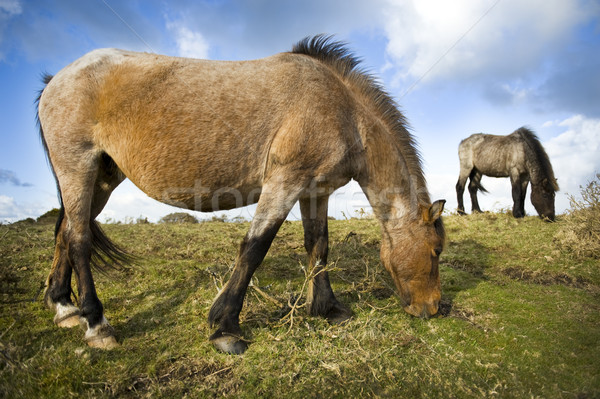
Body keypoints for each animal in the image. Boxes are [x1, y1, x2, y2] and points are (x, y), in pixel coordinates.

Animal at [35, 34, 442, 354]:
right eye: (436, 251)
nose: (434, 308)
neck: (340, 107)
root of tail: (57, 79)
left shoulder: (314, 191)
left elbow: (318, 246)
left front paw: (328, 308)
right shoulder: (284, 181)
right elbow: (254, 248)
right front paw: (225, 327)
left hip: (101, 178)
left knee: (65, 233)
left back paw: (64, 307)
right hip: (78, 168)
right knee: (80, 240)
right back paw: (96, 324)